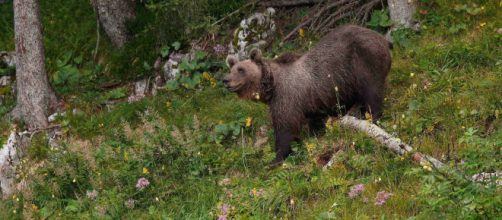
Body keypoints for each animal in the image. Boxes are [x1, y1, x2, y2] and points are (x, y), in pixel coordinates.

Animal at [224, 25, 392, 163]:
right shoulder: (311, 101)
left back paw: (371, 117)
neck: (272, 86)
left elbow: (285, 129)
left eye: (241, 69)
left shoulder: (286, 98)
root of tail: (382, 38)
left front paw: (276, 159)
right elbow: (313, 121)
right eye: (231, 68)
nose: (225, 80)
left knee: (372, 92)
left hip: (363, 63)